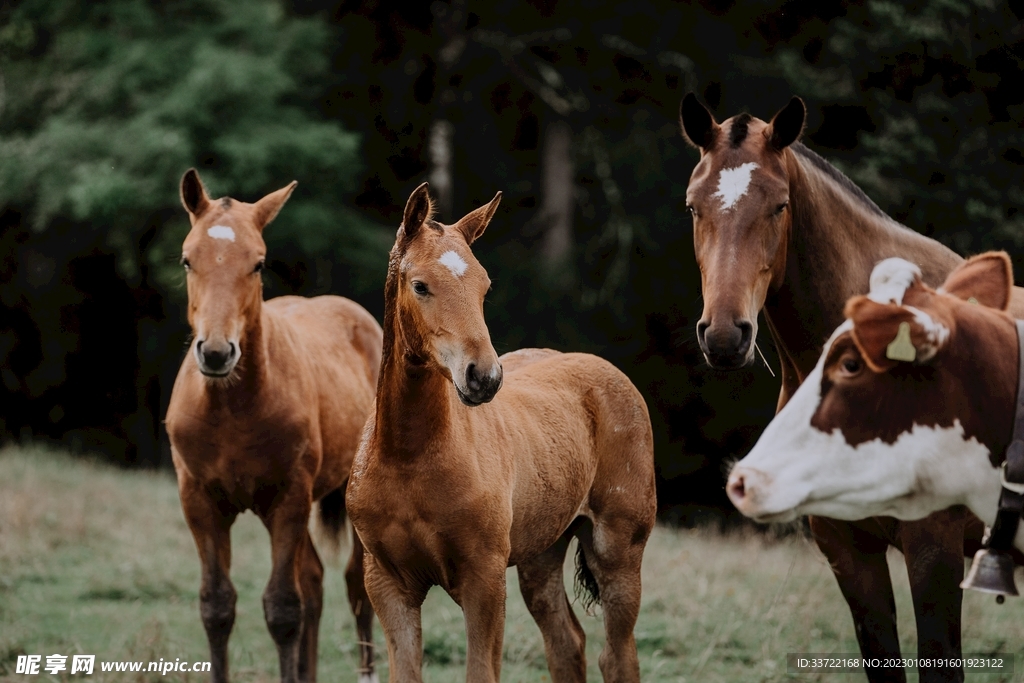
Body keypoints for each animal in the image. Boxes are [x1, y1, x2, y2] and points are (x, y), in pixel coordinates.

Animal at [165, 169, 383, 683]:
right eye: (187, 259)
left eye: (258, 264)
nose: (217, 353)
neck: (233, 409)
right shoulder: (198, 502)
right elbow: (217, 606)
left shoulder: (288, 497)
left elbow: (283, 608)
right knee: (315, 583)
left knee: (355, 589)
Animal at [346, 184, 657, 683]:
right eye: (420, 285)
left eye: (484, 286)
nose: (484, 377)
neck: (409, 457)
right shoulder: (388, 583)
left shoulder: (484, 579)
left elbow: (481, 671)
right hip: (540, 555)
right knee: (567, 644)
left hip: (618, 549)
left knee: (618, 656)